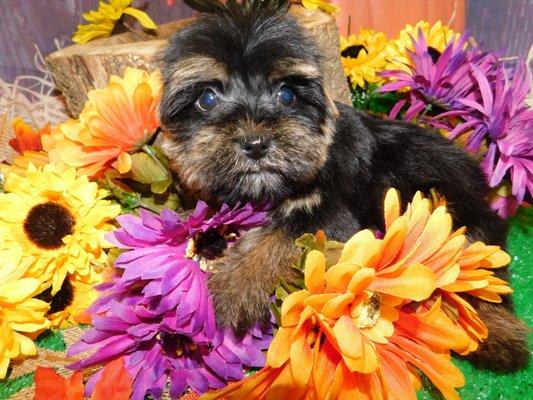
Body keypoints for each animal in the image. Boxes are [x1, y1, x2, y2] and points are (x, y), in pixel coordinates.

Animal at [160, 3, 528, 372]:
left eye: (286, 94)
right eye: (207, 99)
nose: (255, 143)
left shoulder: (332, 214)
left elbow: (280, 236)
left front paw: (233, 288)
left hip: (456, 211)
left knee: (483, 272)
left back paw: (496, 334)